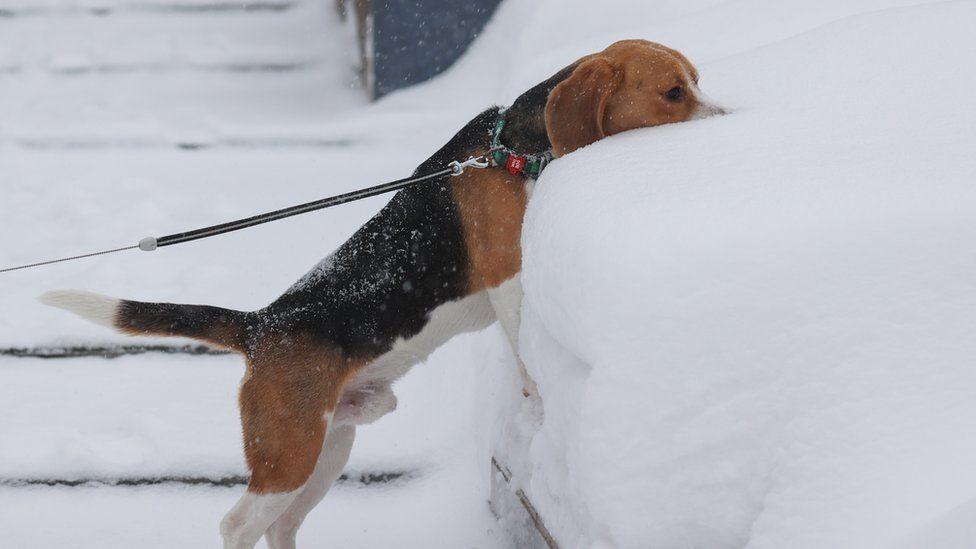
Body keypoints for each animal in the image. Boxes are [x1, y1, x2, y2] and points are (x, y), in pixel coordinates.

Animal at [38, 39, 724, 548]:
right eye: (673, 92)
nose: (727, 123)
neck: (518, 150)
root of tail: (261, 324)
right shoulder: (509, 279)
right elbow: (528, 356)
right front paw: (537, 402)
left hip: (329, 449)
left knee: (281, 526)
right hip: (288, 455)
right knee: (237, 524)